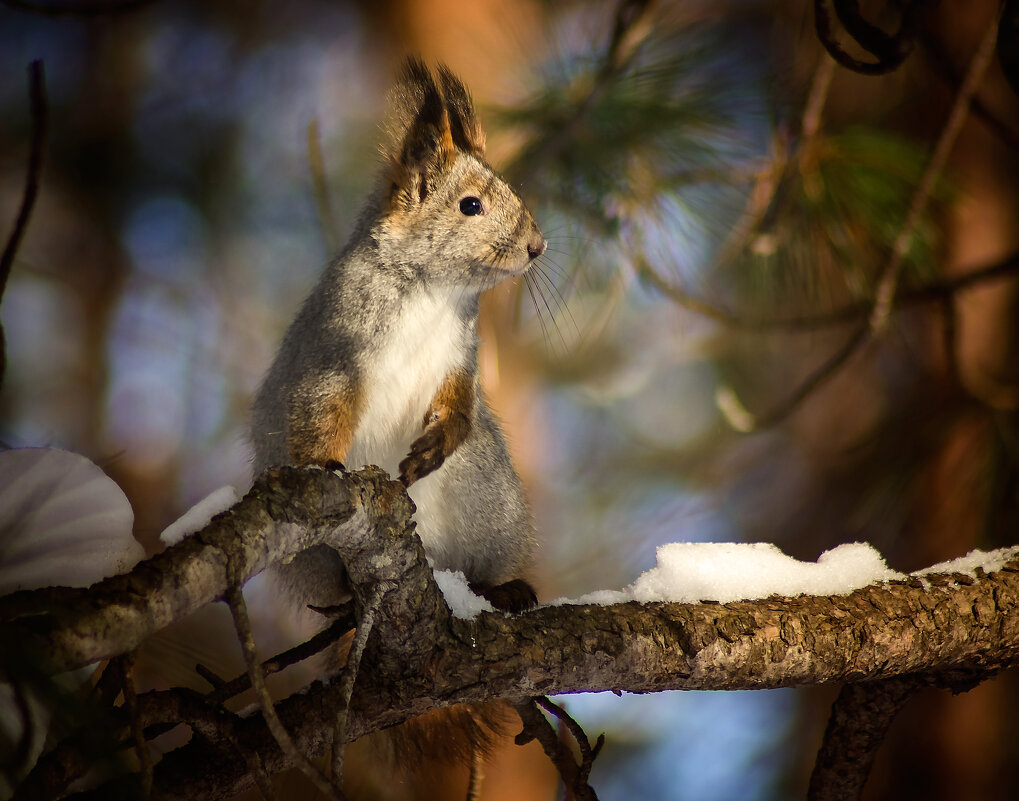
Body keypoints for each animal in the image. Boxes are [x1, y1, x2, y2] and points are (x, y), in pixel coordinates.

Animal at [249, 60, 546, 774]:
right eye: (469, 206)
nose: (537, 245)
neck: (434, 291)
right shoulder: (336, 351)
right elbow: (323, 408)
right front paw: (325, 464)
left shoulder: (460, 362)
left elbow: (460, 408)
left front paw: (433, 447)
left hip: (490, 506)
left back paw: (499, 590)